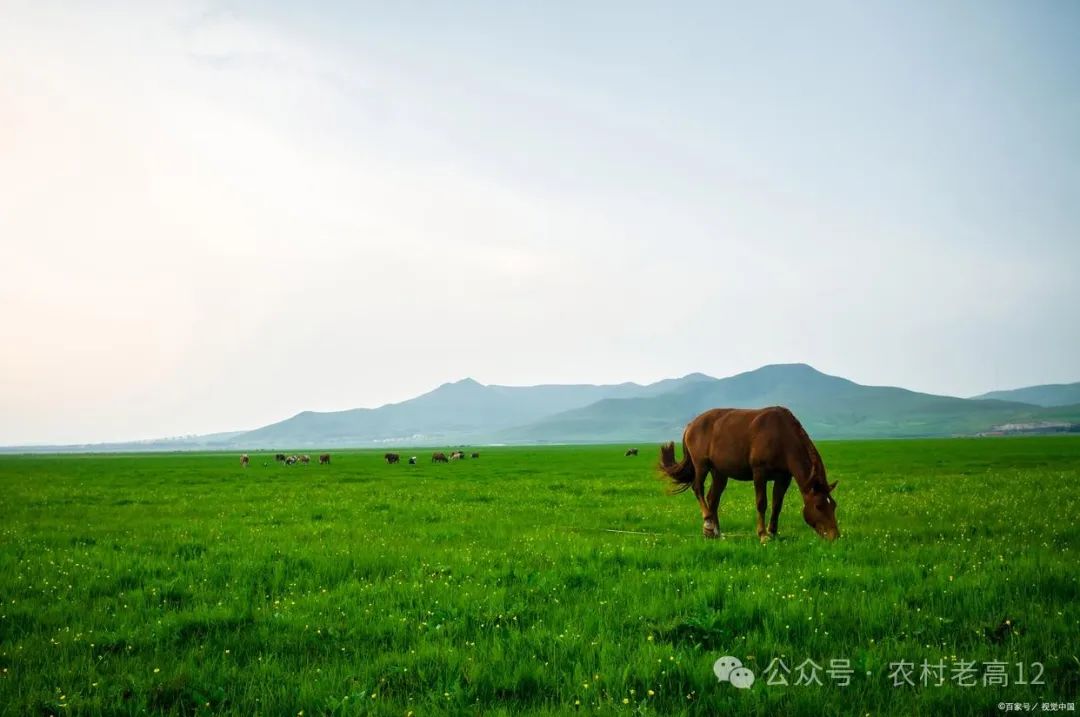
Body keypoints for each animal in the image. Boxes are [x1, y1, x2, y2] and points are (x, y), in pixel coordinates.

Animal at [656, 406, 842, 539]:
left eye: (833, 505)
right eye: (818, 506)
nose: (835, 536)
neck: (781, 436)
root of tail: (691, 425)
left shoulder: (783, 478)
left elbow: (777, 504)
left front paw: (772, 532)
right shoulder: (759, 473)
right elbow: (761, 502)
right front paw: (762, 534)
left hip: (719, 472)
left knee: (713, 498)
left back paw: (716, 532)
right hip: (701, 465)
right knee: (698, 489)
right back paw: (708, 524)